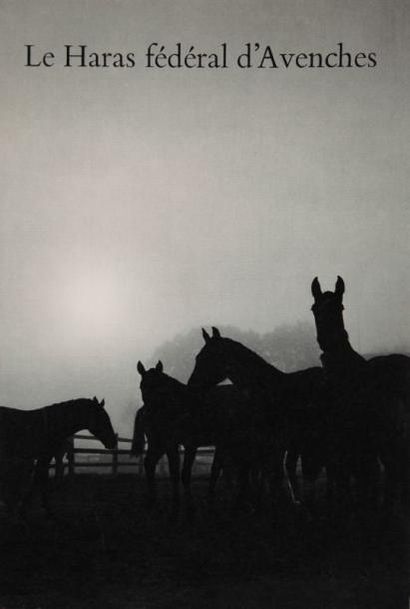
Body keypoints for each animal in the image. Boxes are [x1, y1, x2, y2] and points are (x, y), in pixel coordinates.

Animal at [131, 360, 250, 512]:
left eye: (160, 388)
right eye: (142, 387)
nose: (149, 413)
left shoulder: (193, 444)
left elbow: (195, 472)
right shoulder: (174, 444)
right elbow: (178, 473)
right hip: (159, 444)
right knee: (149, 463)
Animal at [188, 330, 326, 506]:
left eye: (209, 356)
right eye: (198, 357)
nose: (192, 385)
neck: (268, 391)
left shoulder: (273, 445)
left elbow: (270, 476)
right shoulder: (264, 445)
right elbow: (265, 476)